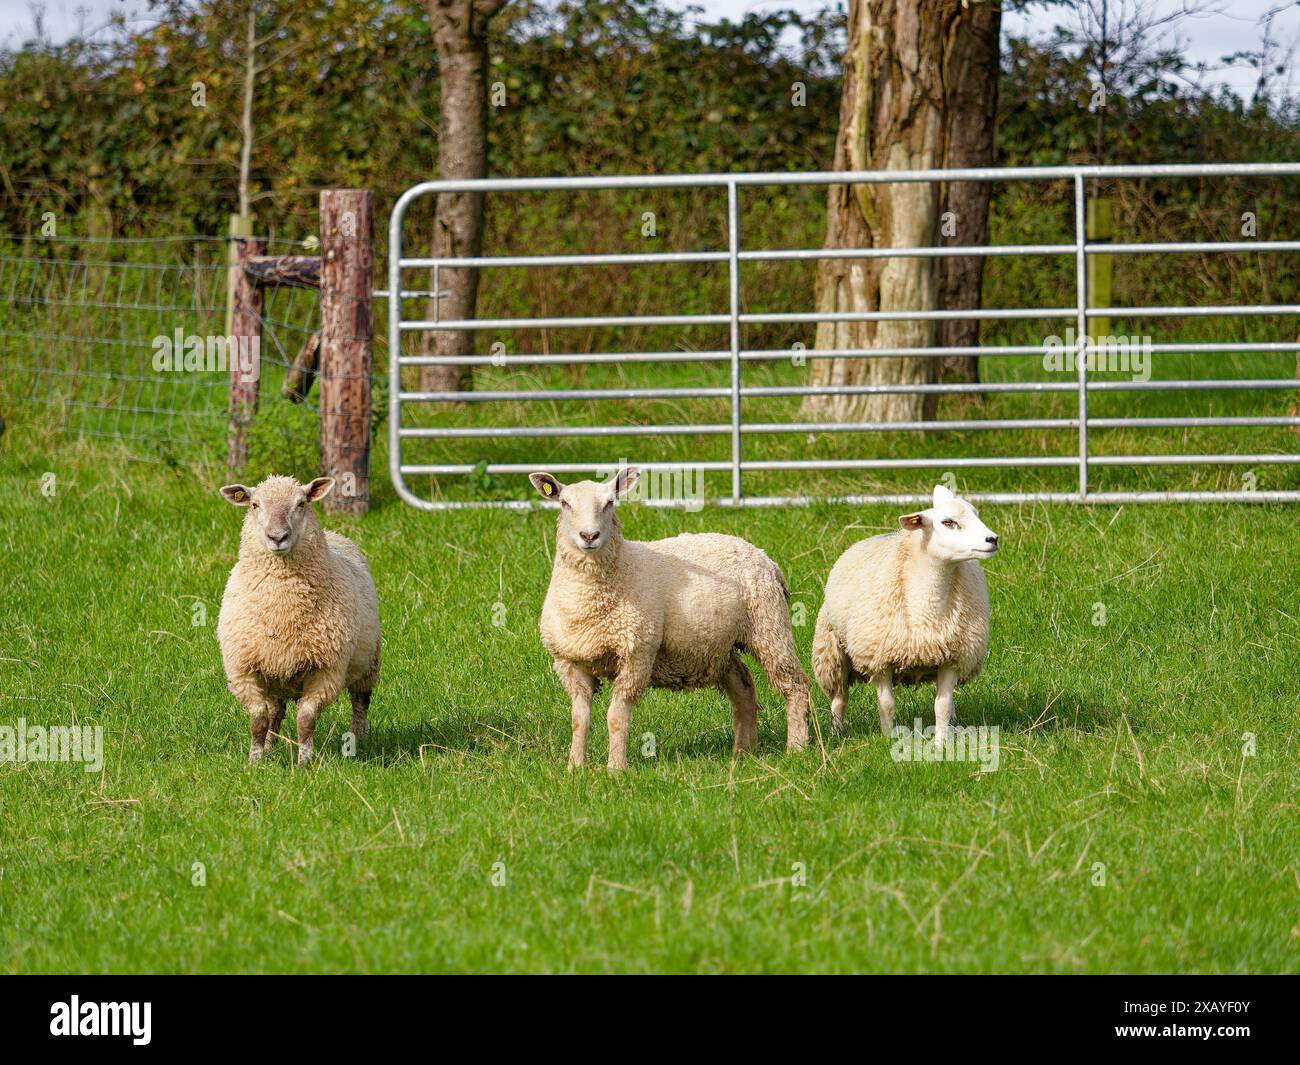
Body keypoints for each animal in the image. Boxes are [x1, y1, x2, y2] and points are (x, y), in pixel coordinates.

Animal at [215, 475, 379, 764]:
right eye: (255, 505)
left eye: (301, 503)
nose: (277, 537)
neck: (283, 610)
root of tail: (336, 534)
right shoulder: (243, 670)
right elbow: (258, 719)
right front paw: (255, 761)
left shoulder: (327, 670)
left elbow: (305, 720)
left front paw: (304, 762)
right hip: (274, 673)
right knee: (274, 712)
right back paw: (270, 746)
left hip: (368, 664)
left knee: (361, 702)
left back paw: (359, 740)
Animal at [522, 465, 806, 764]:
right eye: (565, 503)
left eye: (610, 503)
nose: (589, 536)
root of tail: (763, 556)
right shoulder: (568, 661)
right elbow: (579, 719)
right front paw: (575, 766)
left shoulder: (637, 654)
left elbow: (616, 717)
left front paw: (615, 767)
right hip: (718, 646)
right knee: (743, 687)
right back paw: (743, 752)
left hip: (769, 625)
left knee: (795, 684)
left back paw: (796, 748)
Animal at [806, 486, 998, 743]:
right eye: (948, 522)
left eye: (976, 514)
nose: (993, 539)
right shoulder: (879, 659)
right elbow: (887, 705)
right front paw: (889, 740)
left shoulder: (953, 658)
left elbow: (943, 706)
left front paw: (941, 742)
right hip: (831, 652)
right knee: (839, 698)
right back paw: (836, 732)